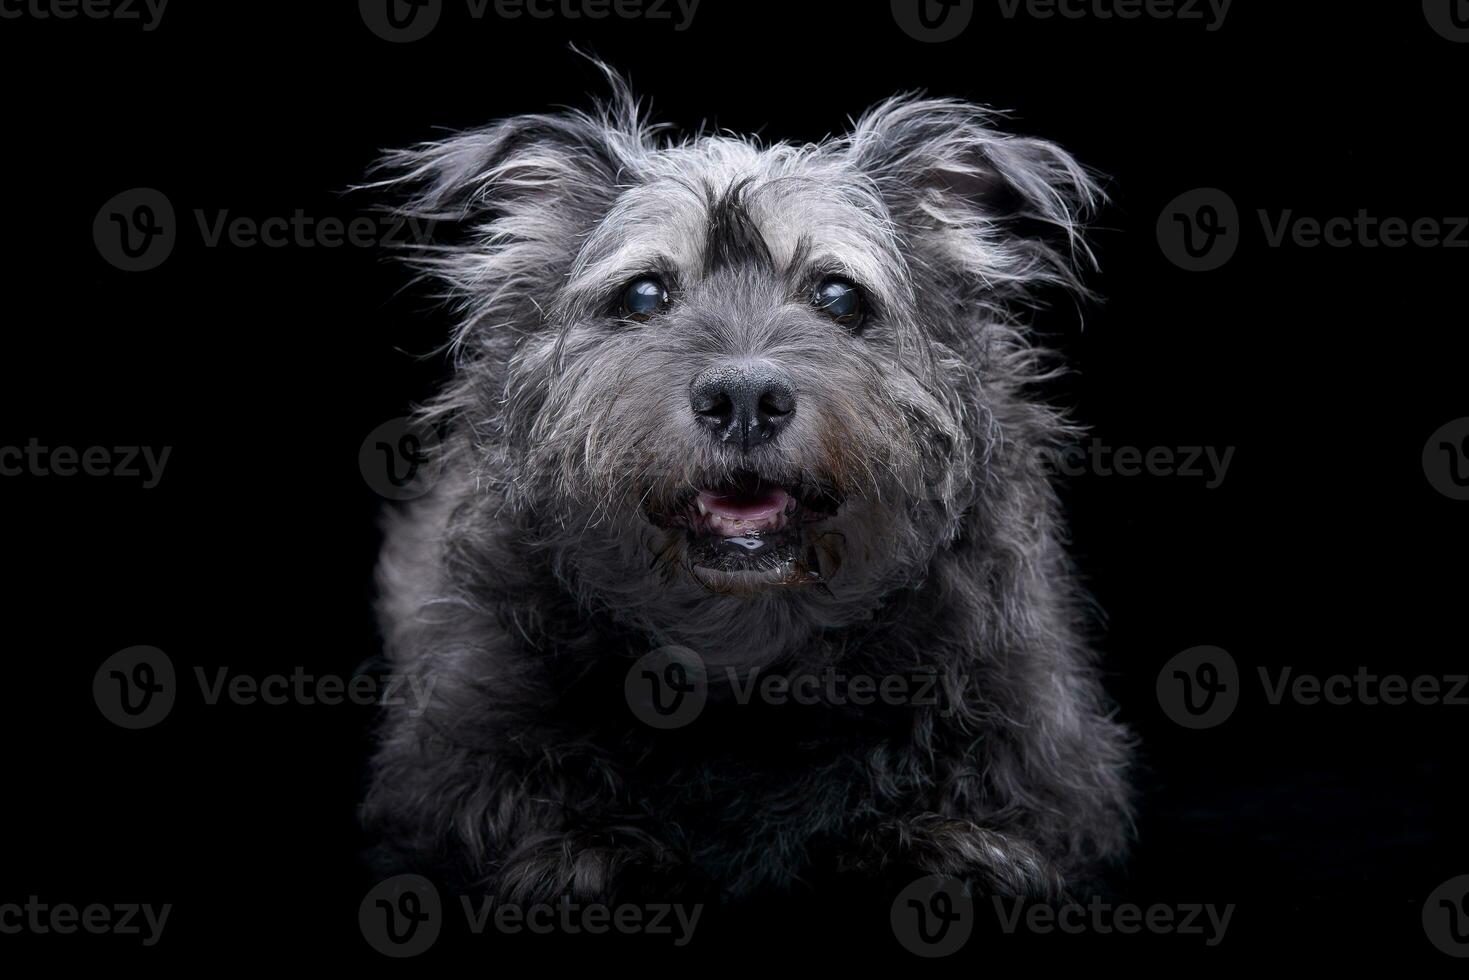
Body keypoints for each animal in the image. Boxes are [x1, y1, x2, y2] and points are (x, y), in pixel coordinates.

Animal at [358, 65, 1134, 910]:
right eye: (643, 295)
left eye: (838, 296)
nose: (742, 399)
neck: (744, 671)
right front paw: (577, 852)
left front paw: (952, 842)